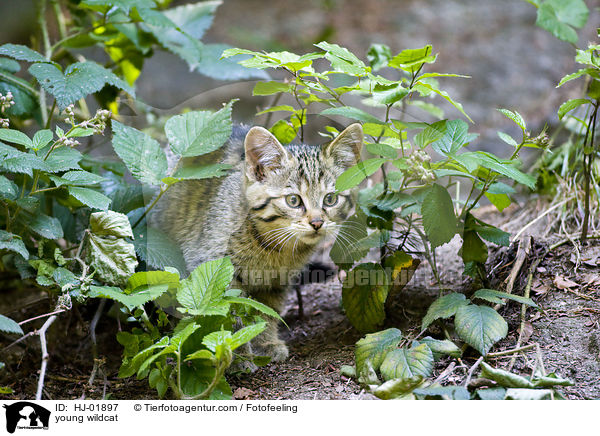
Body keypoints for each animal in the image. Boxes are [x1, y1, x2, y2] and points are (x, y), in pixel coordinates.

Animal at [152, 123, 364, 364]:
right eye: (293, 200)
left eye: (330, 199)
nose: (317, 223)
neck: (274, 247)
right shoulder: (212, 264)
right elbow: (227, 312)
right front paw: (234, 354)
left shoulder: (275, 280)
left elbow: (265, 310)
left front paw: (265, 342)